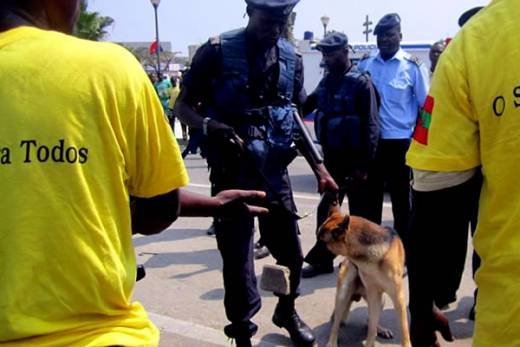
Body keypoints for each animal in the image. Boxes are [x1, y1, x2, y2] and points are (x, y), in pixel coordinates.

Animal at [316, 207, 410, 347]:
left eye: (321, 242)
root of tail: (356, 294)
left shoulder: (397, 297)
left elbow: (404, 330)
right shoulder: (374, 295)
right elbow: (370, 331)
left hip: (381, 300)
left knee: (369, 321)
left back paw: (380, 329)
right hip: (344, 294)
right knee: (336, 324)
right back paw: (332, 342)